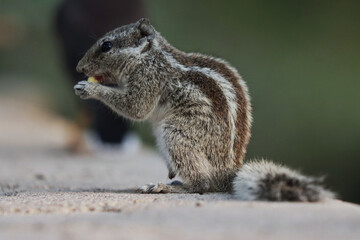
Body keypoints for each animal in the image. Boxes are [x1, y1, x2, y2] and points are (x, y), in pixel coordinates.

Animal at [74, 18, 336, 202]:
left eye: (106, 46)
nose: (79, 68)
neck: (148, 56)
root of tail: (227, 173)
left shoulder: (148, 79)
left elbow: (136, 107)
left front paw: (89, 88)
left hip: (177, 133)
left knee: (201, 184)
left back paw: (165, 187)